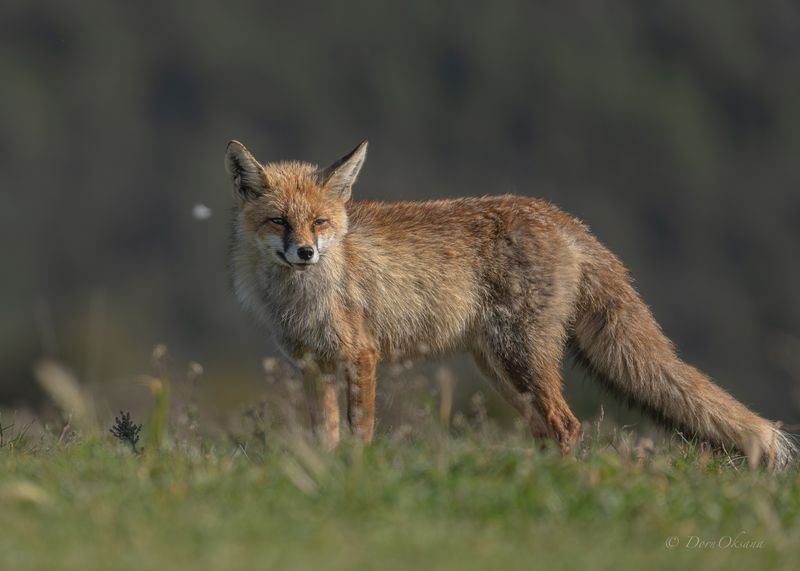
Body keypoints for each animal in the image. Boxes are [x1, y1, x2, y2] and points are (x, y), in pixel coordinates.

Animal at [225, 139, 795, 467]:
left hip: (520, 357)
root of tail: (562, 218)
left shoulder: (362, 355)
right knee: (545, 428)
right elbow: (325, 436)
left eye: (319, 222)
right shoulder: (312, 366)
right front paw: (326, 473)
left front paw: (357, 476)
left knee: (567, 425)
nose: (305, 252)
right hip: (501, 369)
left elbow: (359, 432)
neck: (304, 294)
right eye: (279, 221)